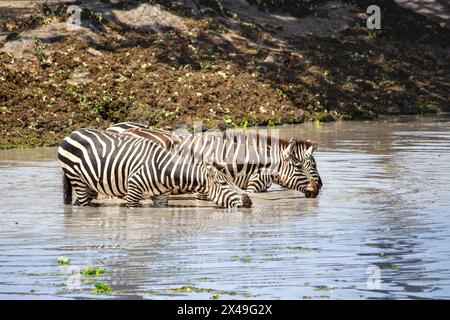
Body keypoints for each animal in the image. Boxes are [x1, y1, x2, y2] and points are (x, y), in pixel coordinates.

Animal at [57, 129, 251, 209]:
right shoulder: (133, 192)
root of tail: (72, 133)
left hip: (90, 184)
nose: (248, 202)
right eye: (223, 184)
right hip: (77, 179)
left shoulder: (161, 198)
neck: (165, 171)